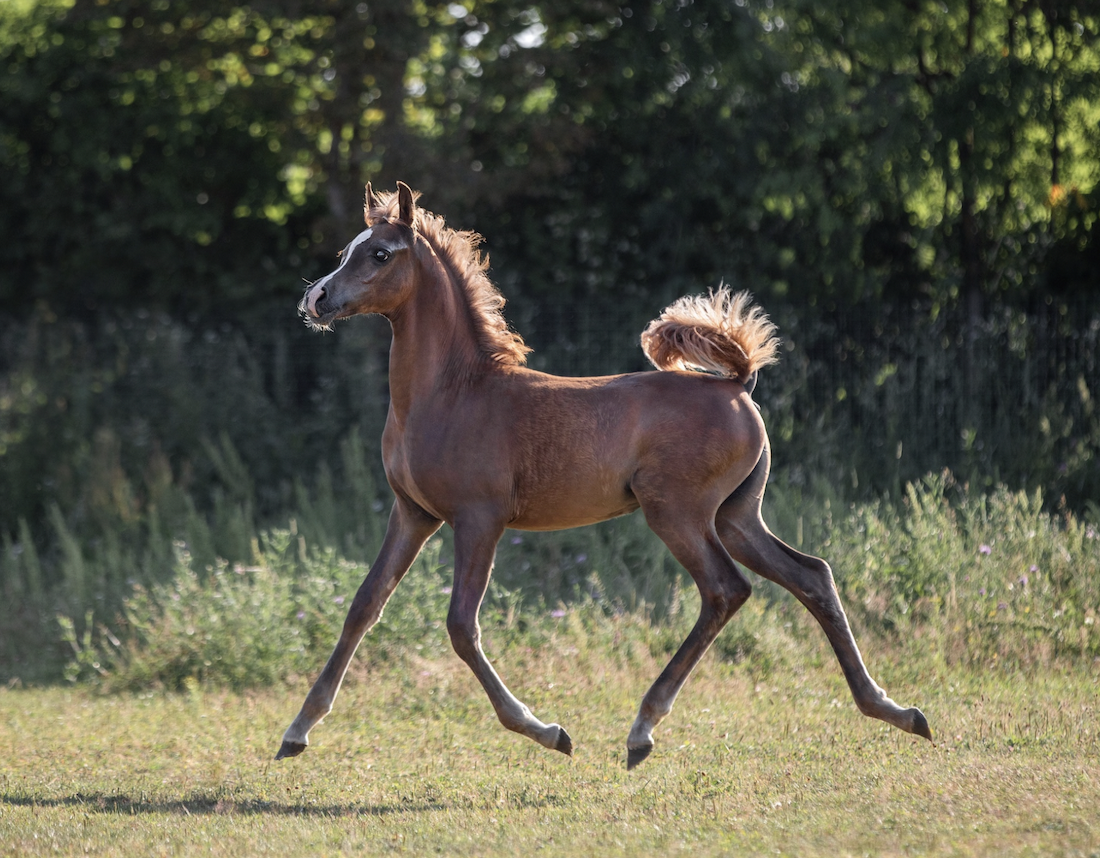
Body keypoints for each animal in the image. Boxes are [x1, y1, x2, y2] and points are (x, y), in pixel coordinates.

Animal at [275, 182, 928, 770]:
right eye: (348, 249)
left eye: (380, 254)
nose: (316, 299)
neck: (451, 394)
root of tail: (738, 383)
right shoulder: (412, 514)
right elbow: (364, 605)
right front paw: (297, 731)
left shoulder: (478, 519)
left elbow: (461, 626)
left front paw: (547, 731)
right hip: (736, 516)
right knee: (810, 576)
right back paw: (895, 711)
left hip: (677, 513)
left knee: (726, 590)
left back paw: (643, 730)